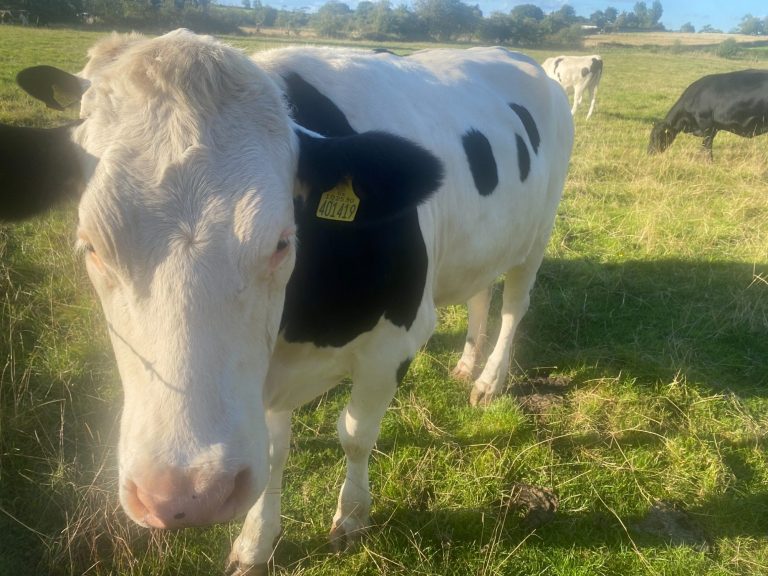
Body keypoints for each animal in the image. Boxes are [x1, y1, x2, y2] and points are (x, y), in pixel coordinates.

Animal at [0, 31, 572, 576]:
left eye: (281, 241)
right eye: (91, 246)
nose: (187, 496)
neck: (293, 333)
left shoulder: (394, 342)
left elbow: (356, 434)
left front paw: (352, 518)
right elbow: (274, 452)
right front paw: (256, 543)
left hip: (538, 233)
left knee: (513, 305)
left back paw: (489, 380)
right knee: (479, 293)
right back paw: (466, 364)